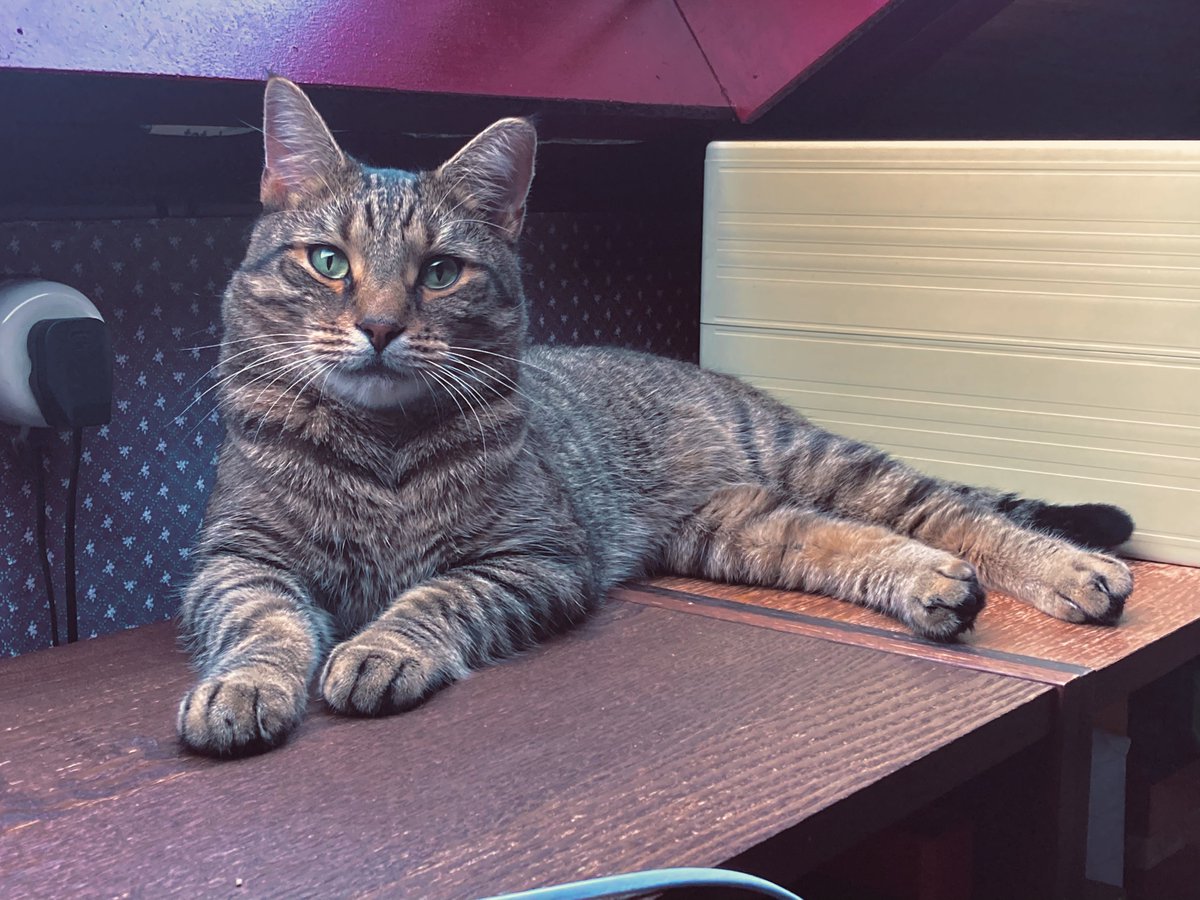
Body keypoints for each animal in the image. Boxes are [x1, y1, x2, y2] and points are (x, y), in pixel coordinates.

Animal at [175, 77, 1132, 758]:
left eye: (441, 272)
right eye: (328, 262)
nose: (378, 326)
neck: (377, 446)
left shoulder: (539, 558)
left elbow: (437, 595)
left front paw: (385, 647)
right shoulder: (237, 556)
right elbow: (261, 620)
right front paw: (242, 687)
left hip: (823, 463)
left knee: (954, 514)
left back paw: (1075, 571)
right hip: (743, 530)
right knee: (856, 541)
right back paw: (935, 587)